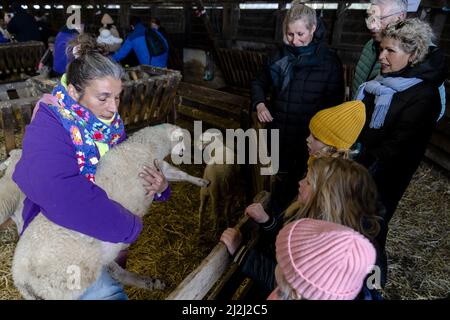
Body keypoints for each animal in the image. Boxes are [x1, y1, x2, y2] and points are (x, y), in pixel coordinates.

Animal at [5, 123, 209, 300]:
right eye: (184, 140)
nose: (191, 156)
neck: (147, 145)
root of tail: (19, 278)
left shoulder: (158, 169)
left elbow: (179, 175)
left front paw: (201, 182)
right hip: (67, 284)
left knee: (116, 271)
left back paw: (151, 282)